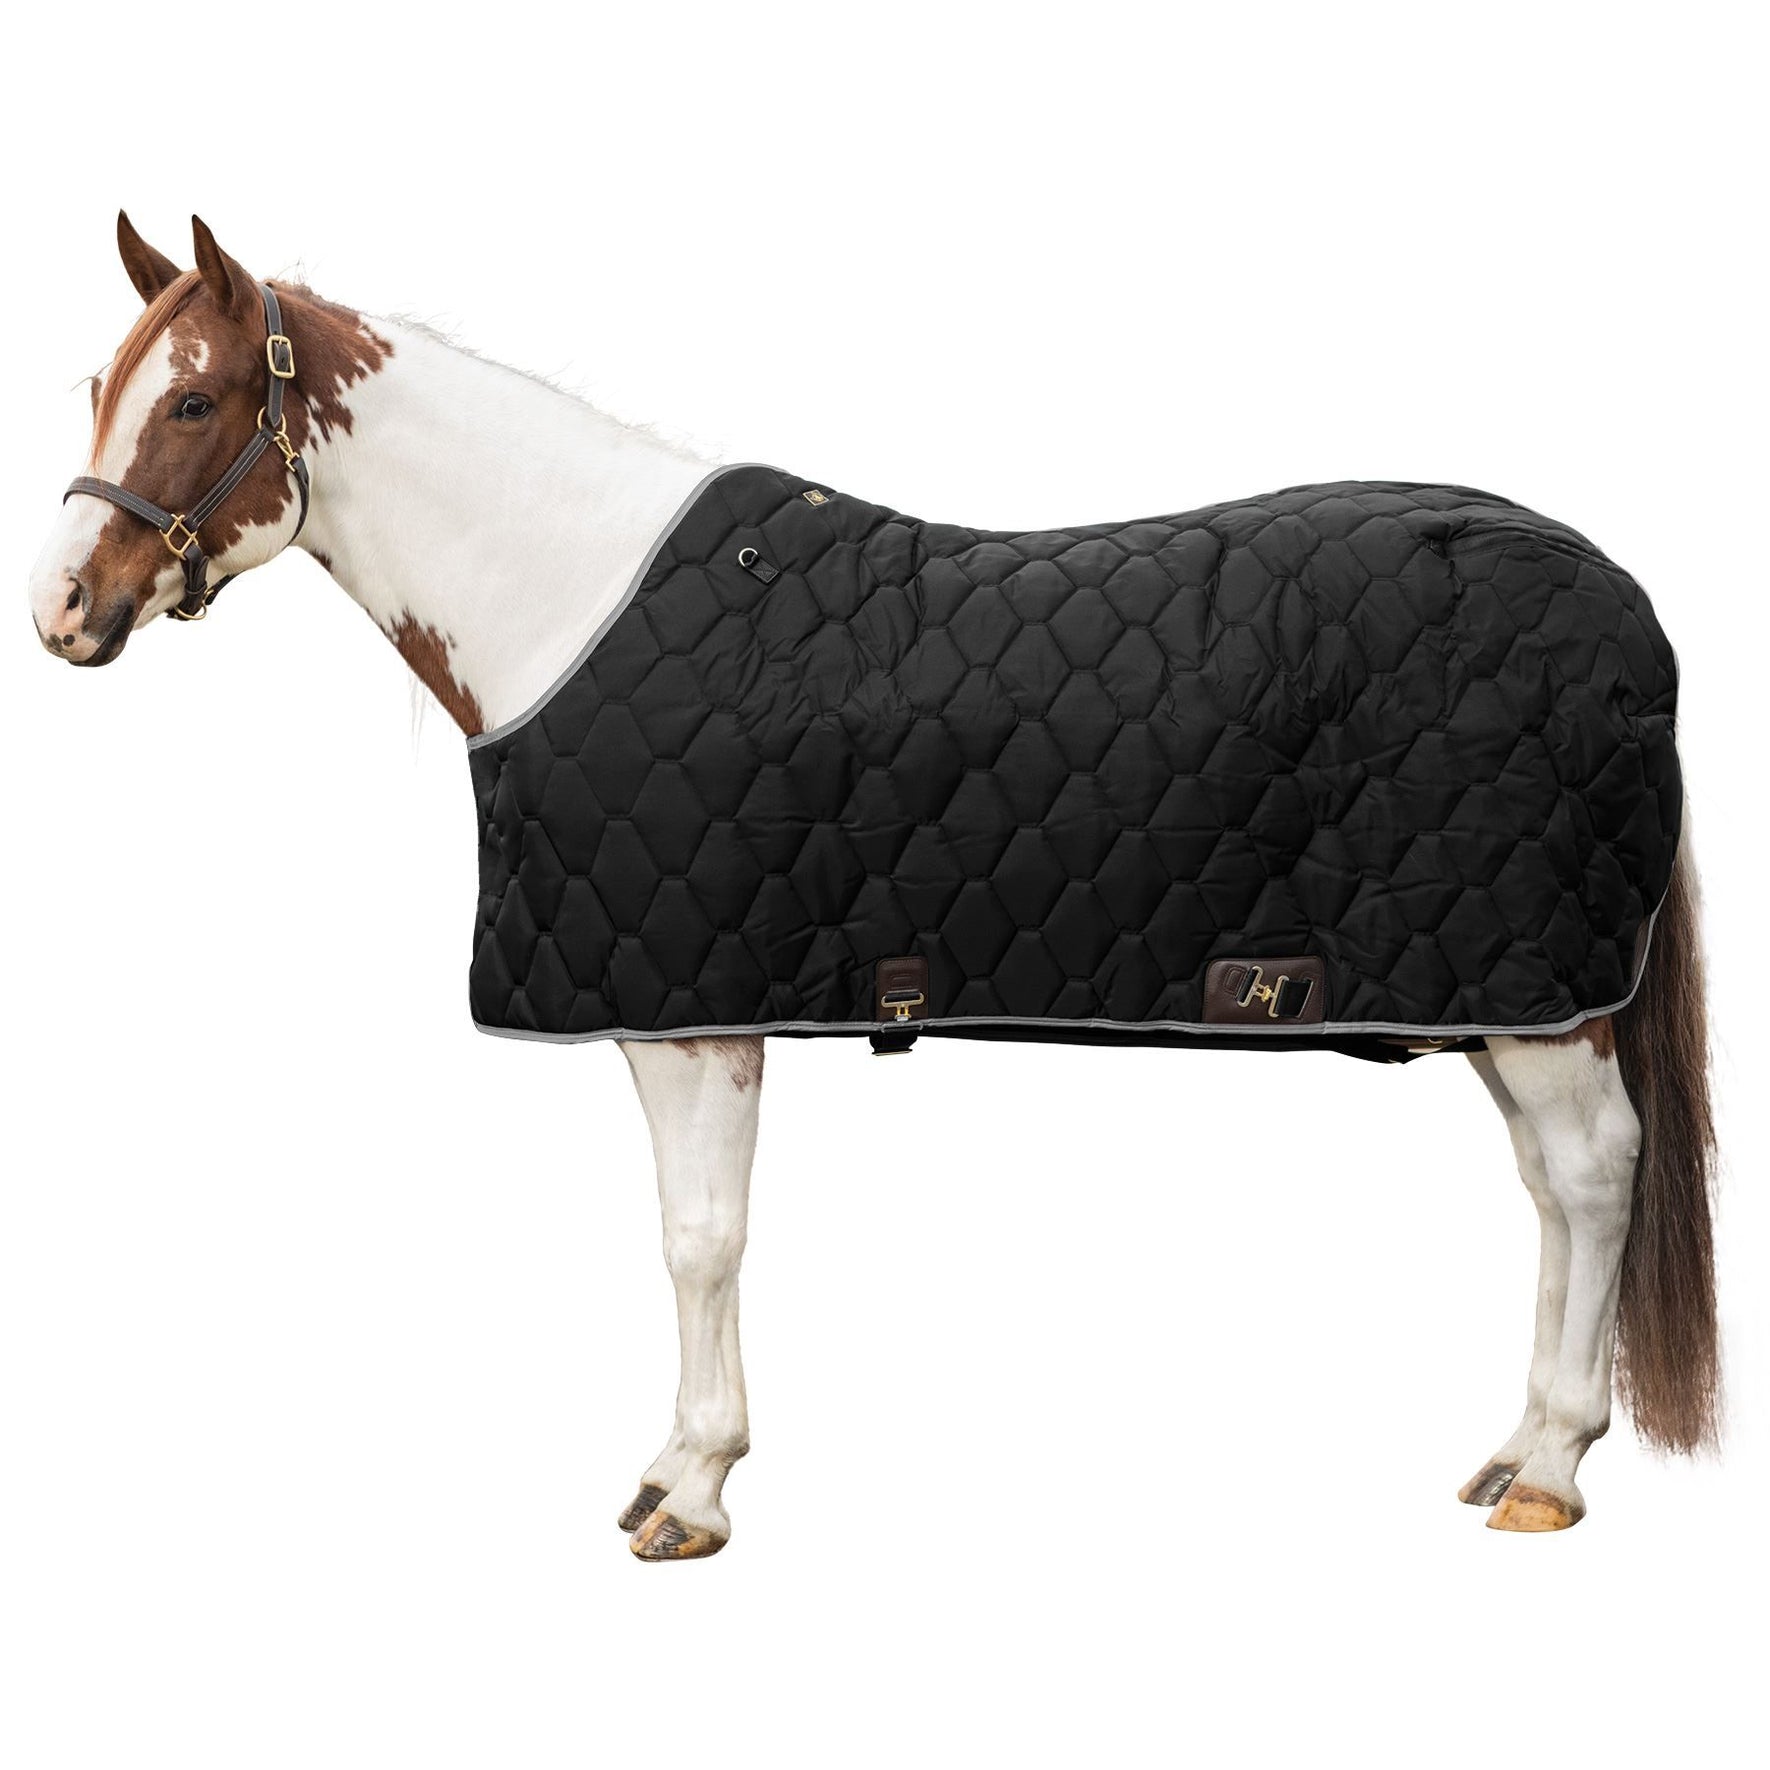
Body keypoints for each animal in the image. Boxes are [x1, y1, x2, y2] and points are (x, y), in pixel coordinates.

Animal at [27, 213, 1720, 1557]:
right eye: (101, 387)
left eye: (194, 397)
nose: (61, 609)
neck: (574, 603)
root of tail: (1622, 610)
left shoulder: (691, 1015)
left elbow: (697, 1237)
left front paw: (689, 1487)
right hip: (1500, 992)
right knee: (1551, 1188)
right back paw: (1514, 1448)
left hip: (1527, 988)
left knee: (1591, 1174)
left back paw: (1549, 1471)